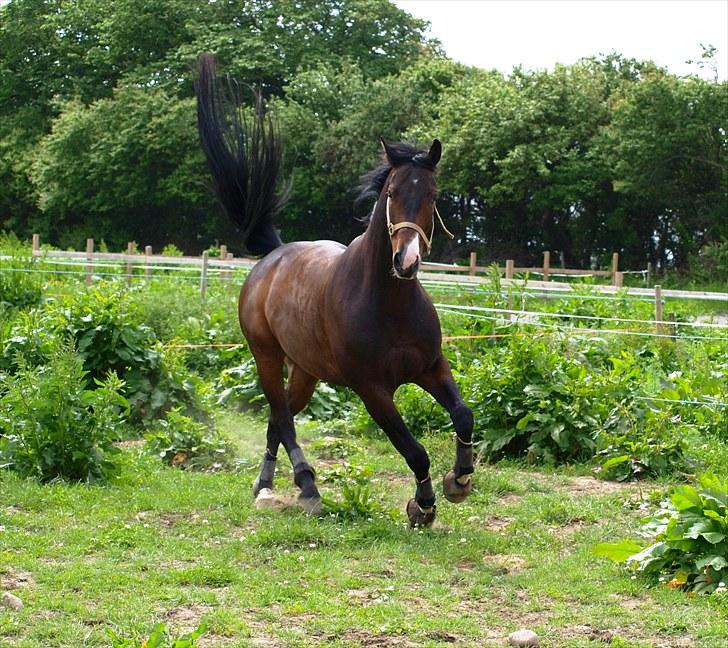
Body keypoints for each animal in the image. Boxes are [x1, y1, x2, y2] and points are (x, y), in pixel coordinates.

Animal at [196, 55, 474, 528]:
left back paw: (265, 485)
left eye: (433, 194)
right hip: (266, 356)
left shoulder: (431, 367)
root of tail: (274, 255)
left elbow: (463, 414)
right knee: (282, 417)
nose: (406, 261)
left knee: (277, 417)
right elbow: (414, 450)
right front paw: (422, 505)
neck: (390, 304)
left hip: (306, 370)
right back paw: (306, 488)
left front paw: (460, 479)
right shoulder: (372, 389)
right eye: (392, 192)